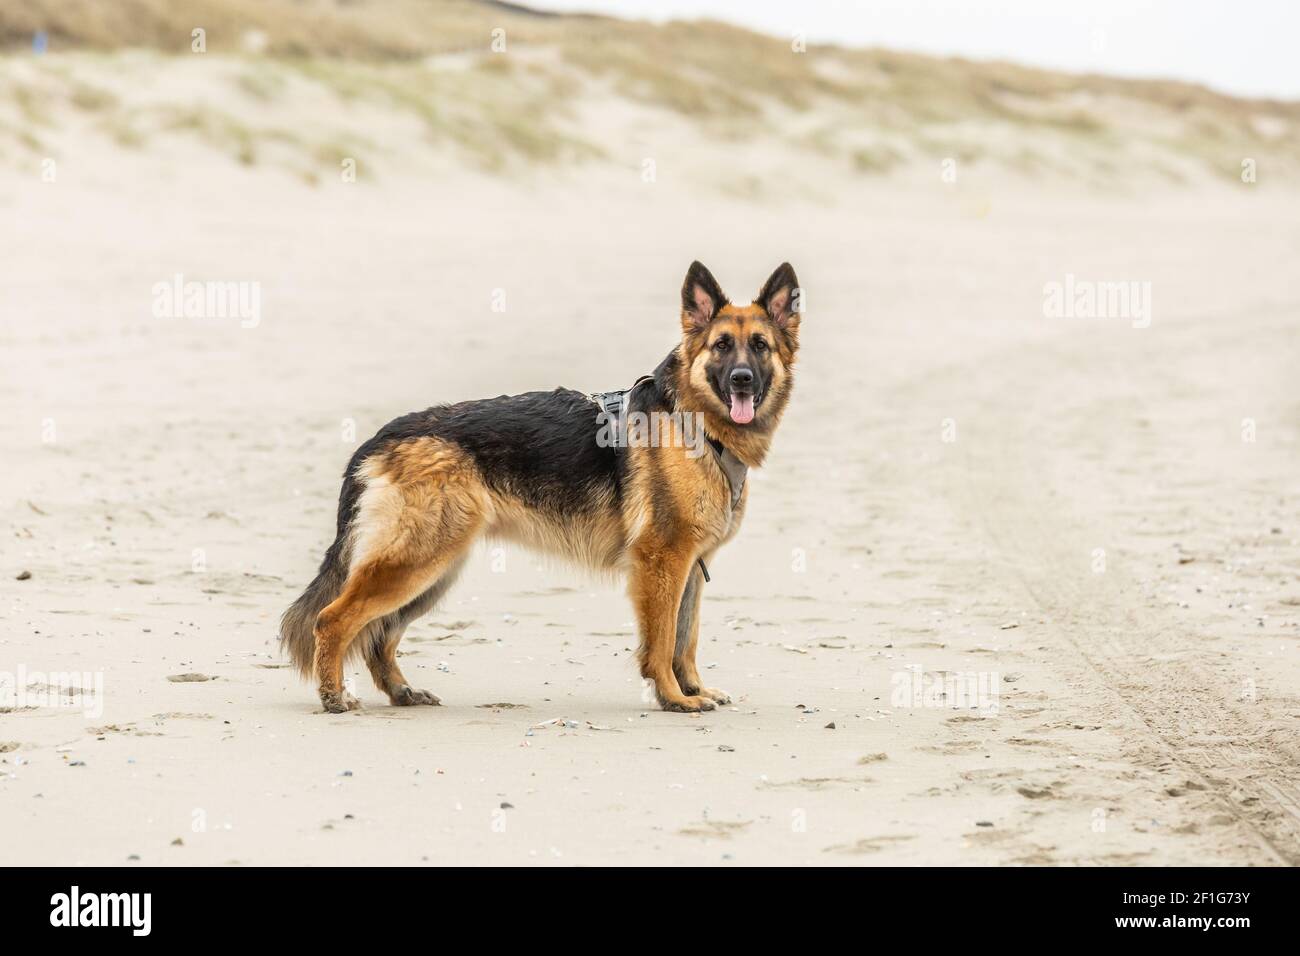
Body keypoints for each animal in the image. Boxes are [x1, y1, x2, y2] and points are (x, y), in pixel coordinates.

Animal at [279, 260, 795, 712]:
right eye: (722, 346)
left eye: (760, 346)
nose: (742, 380)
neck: (693, 420)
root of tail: (385, 434)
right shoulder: (662, 563)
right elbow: (663, 641)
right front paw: (673, 698)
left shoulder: (689, 567)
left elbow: (685, 639)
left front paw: (693, 690)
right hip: (416, 564)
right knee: (333, 620)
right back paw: (334, 697)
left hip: (432, 573)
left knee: (379, 635)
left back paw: (401, 692)